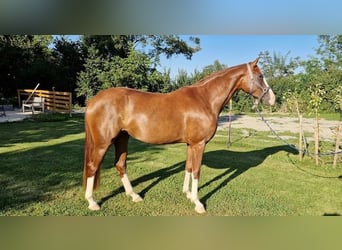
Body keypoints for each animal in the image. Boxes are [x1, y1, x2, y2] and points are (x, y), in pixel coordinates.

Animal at [84, 58, 276, 213]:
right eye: (260, 76)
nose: (272, 99)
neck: (205, 99)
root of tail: (93, 101)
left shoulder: (191, 144)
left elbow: (189, 167)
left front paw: (188, 194)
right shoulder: (199, 144)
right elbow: (197, 170)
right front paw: (198, 203)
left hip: (122, 138)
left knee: (120, 164)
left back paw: (134, 195)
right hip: (103, 143)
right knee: (93, 166)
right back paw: (92, 202)